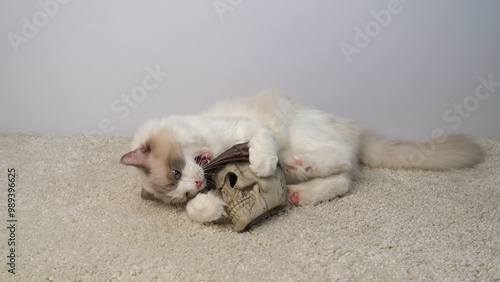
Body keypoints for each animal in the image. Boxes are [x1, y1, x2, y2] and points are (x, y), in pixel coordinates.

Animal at [119, 90, 482, 223]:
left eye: (176, 173)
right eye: (180, 192)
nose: (193, 185)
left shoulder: (245, 130)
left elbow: (259, 145)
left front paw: (261, 165)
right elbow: (198, 212)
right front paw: (211, 208)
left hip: (296, 134)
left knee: (341, 159)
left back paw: (296, 167)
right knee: (343, 178)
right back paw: (296, 192)